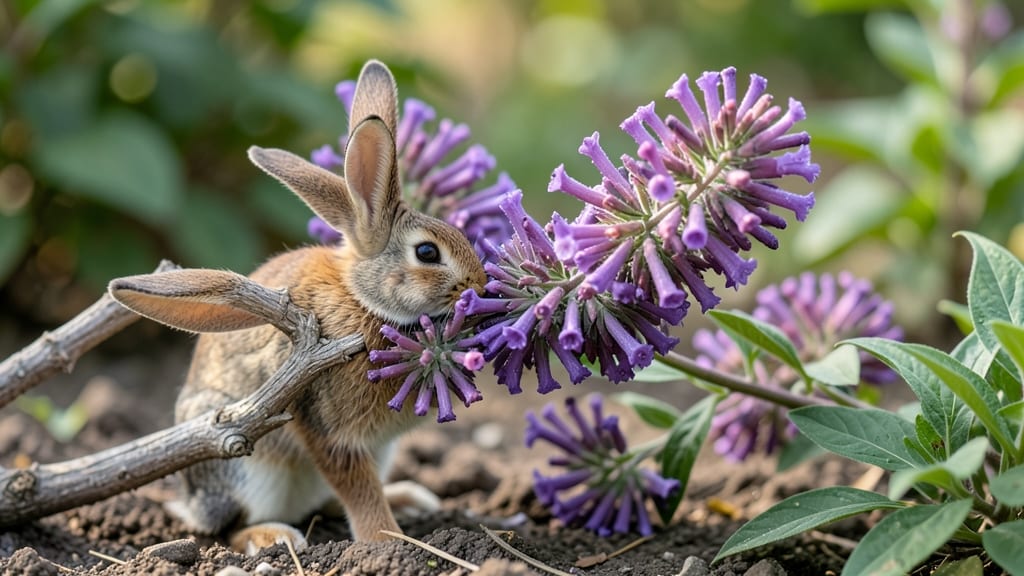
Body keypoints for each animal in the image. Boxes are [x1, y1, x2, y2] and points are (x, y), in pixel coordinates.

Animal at [109, 60, 487, 552]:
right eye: (427, 253)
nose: (478, 284)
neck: (363, 299)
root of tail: (191, 502)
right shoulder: (327, 428)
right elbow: (358, 490)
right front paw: (386, 541)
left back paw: (410, 497)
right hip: (244, 463)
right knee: (229, 526)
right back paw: (273, 535)